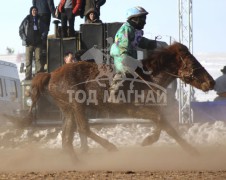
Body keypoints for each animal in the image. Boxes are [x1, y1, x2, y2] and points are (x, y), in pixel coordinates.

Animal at [29, 41, 215, 159]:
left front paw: (191, 151)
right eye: (192, 63)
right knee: (83, 129)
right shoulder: (134, 109)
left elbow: (165, 125)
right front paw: (149, 140)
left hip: (68, 109)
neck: (148, 77)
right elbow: (162, 122)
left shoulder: (152, 108)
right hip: (77, 105)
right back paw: (111, 147)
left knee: (67, 137)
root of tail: (51, 74)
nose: (211, 82)